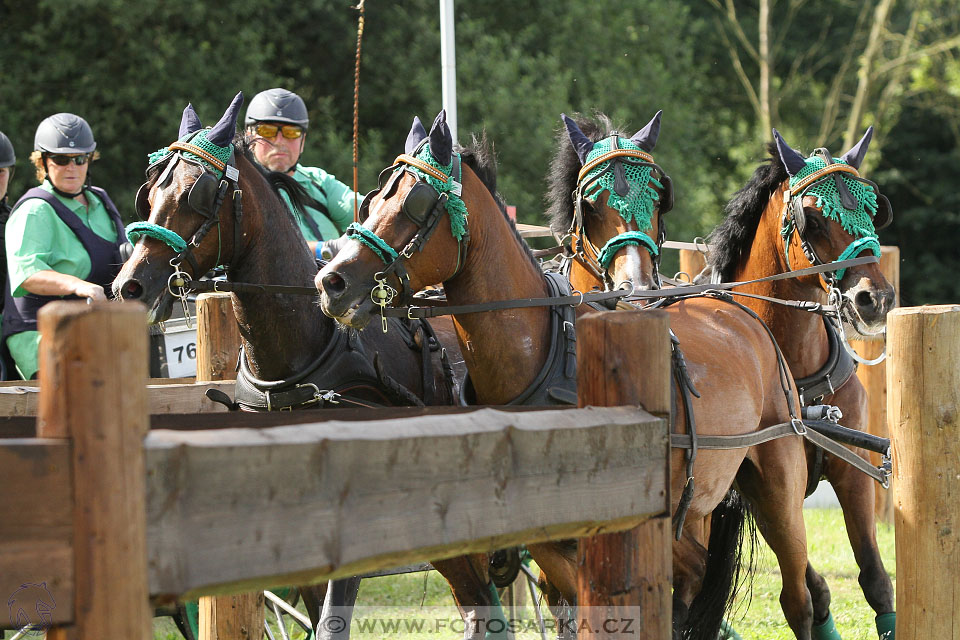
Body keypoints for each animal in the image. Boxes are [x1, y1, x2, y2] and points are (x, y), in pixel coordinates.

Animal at [320, 111, 816, 640]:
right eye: (374, 198)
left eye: (415, 204)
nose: (332, 281)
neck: (547, 357)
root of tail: (737, 309)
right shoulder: (546, 535)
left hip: (778, 483)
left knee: (793, 595)